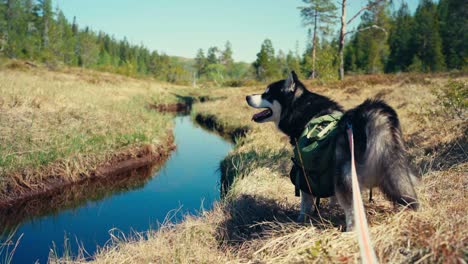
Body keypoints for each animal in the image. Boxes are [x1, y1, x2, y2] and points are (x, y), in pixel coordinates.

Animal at [247, 71, 418, 230]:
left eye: (267, 94)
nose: (247, 96)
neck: (303, 111)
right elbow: (332, 200)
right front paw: (331, 211)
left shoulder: (304, 174)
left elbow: (305, 203)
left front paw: (301, 220)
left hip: (346, 178)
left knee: (353, 211)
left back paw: (351, 231)